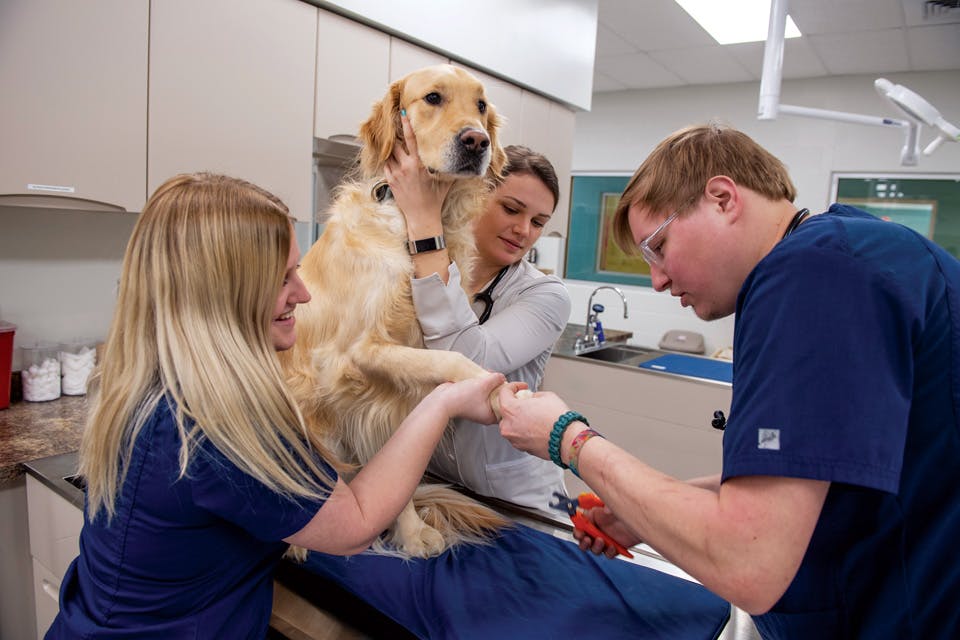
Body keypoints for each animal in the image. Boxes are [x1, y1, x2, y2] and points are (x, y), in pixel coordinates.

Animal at [282, 62, 512, 556]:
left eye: (482, 105)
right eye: (433, 98)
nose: (476, 141)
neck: (415, 226)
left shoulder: (401, 385)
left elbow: (400, 471)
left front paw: (409, 531)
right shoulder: (354, 352)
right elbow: (456, 357)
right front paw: (492, 388)